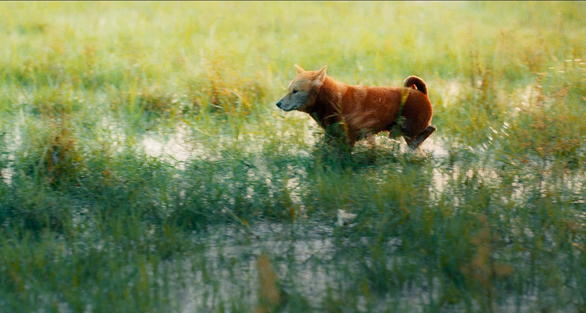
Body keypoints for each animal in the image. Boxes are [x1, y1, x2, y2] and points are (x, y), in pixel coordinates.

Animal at [274, 64, 434, 147]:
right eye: (289, 89)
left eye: (295, 91)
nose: (278, 103)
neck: (334, 101)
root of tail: (421, 93)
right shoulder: (332, 135)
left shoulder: (349, 138)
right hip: (400, 131)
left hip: (408, 129)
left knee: (429, 130)